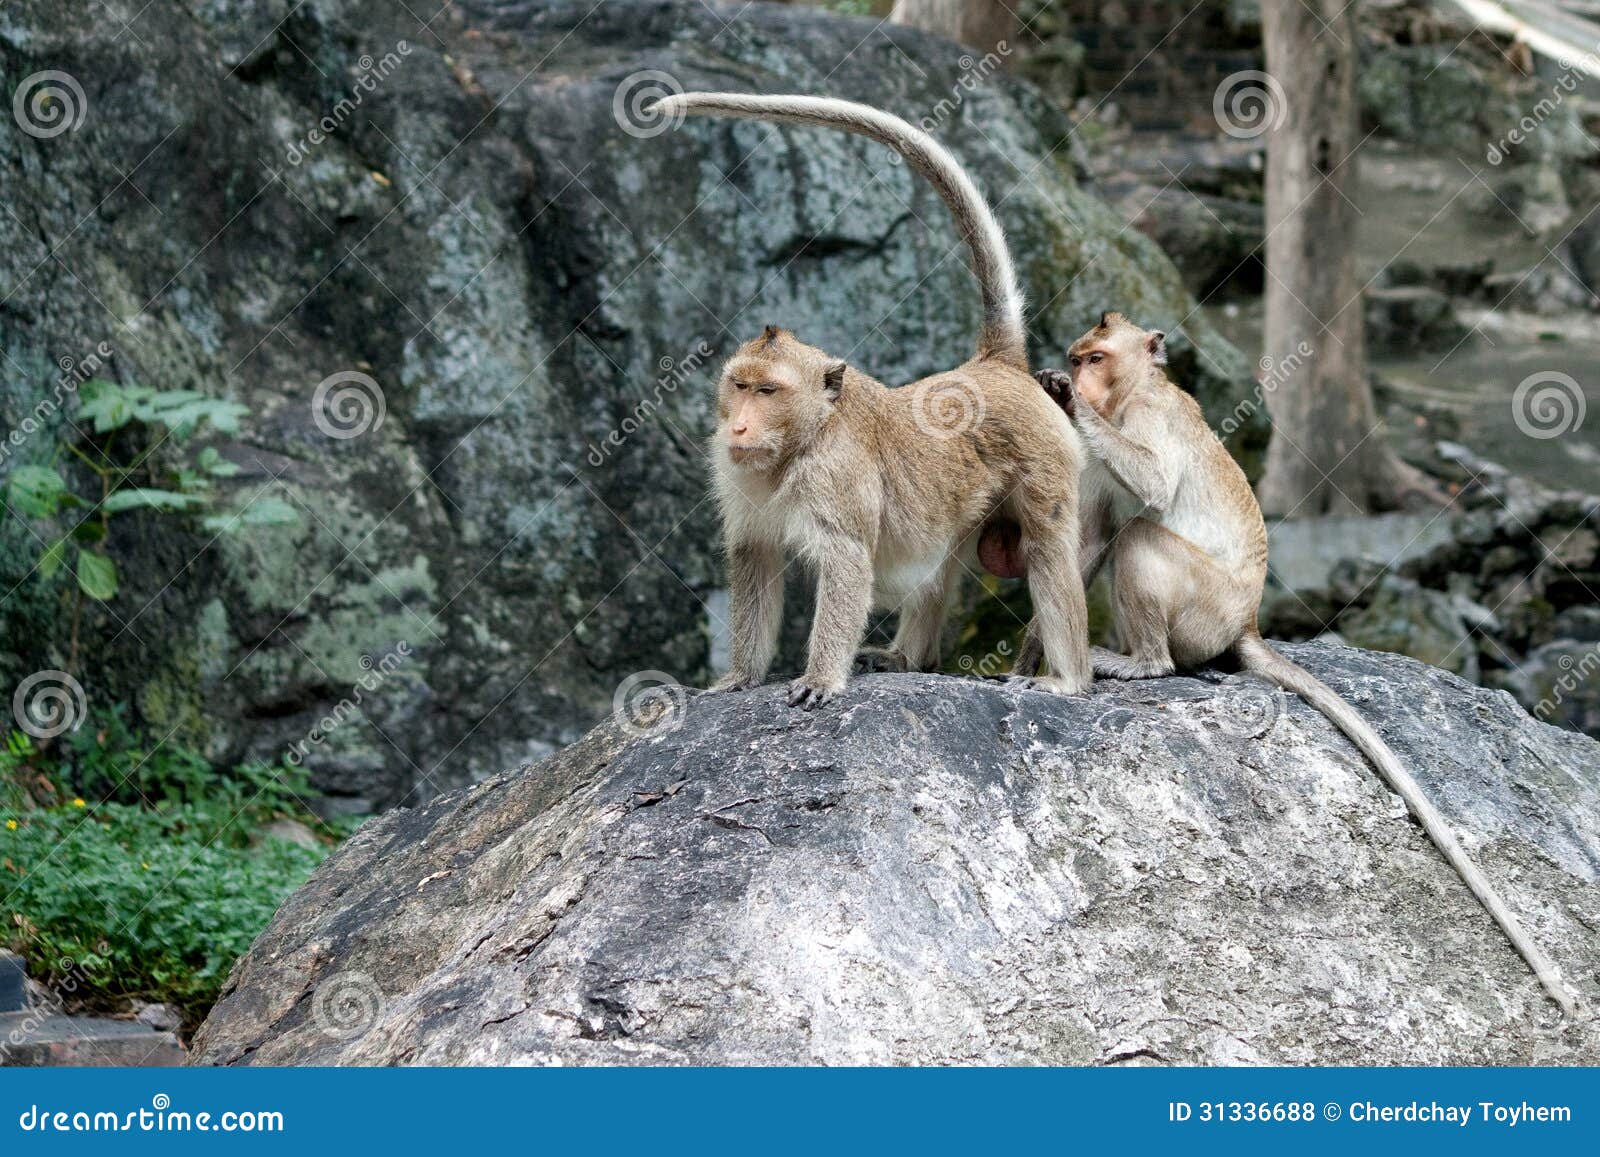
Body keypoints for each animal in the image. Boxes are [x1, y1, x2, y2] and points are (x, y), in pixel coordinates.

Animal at [643, 92, 1094, 707]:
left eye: (767, 391)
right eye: (738, 385)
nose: (738, 427)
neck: (805, 439)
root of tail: (993, 366)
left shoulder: (834, 477)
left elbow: (846, 563)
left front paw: (819, 678)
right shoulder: (738, 476)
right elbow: (755, 557)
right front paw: (741, 676)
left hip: (1047, 456)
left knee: (1048, 546)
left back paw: (1069, 678)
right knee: (942, 558)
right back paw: (909, 657)